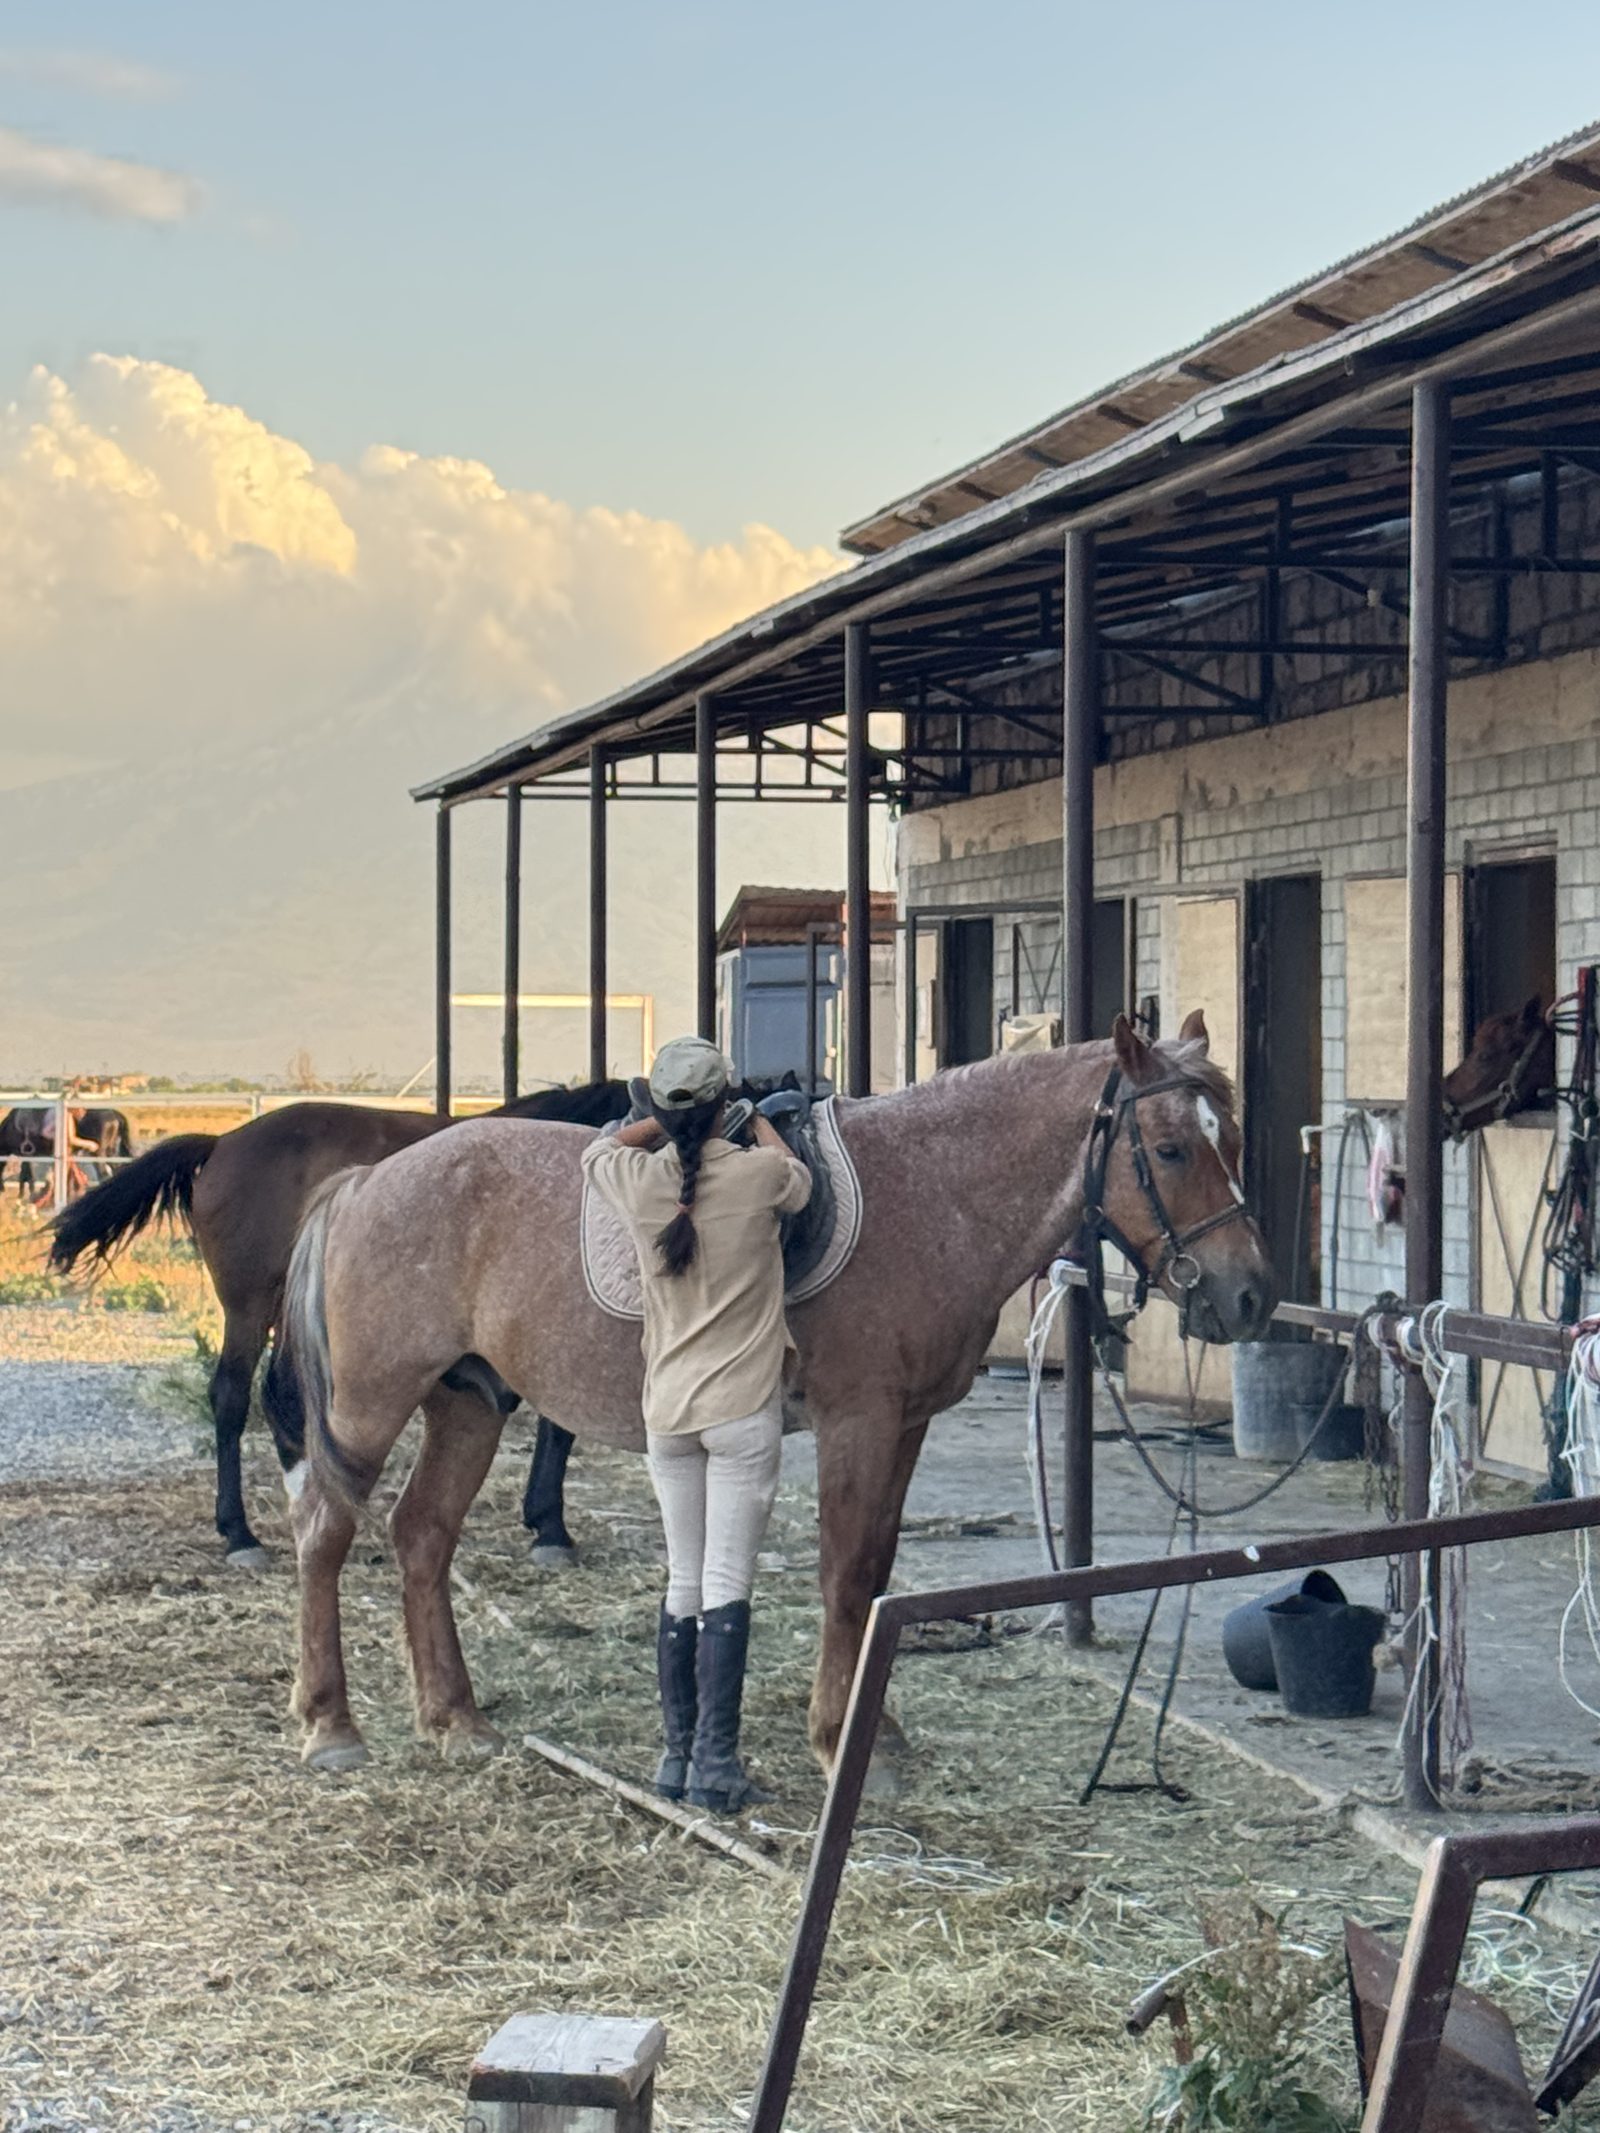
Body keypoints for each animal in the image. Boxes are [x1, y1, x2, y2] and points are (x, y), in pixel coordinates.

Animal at [267, 1013, 1275, 1783]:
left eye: (1231, 1141)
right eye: (1171, 1148)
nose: (1250, 1297)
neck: (932, 1192)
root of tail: (366, 1182)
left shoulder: (905, 1425)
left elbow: (874, 1573)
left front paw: (876, 1733)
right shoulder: (858, 1420)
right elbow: (846, 1572)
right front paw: (840, 1742)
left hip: (471, 1402)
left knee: (422, 1536)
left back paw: (455, 1717)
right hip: (369, 1407)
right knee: (325, 1531)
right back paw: (330, 1725)